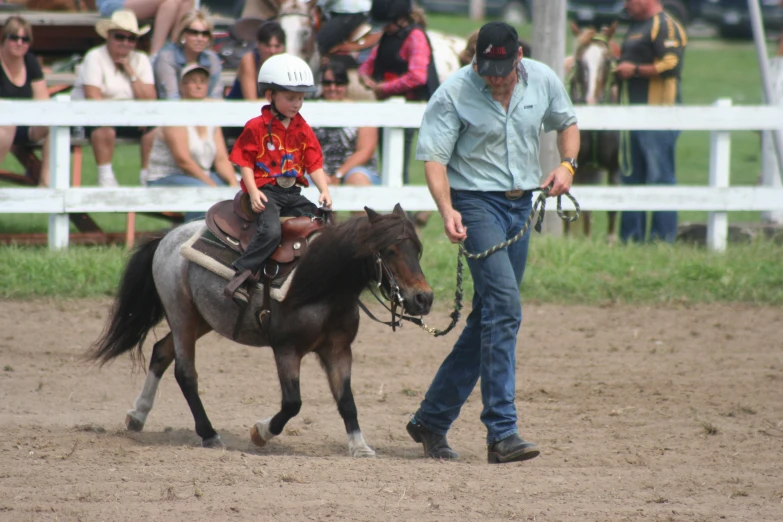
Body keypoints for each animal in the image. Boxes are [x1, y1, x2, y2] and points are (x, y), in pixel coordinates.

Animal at [92, 203, 438, 456]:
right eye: (390, 251)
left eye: (419, 250)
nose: (424, 298)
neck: (322, 284)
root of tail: (168, 236)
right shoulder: (286, 350)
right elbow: (293, 403)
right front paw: (260, 432)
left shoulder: (338, 350)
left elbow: (346, 400)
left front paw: (359, 446)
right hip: (181, 315)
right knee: (185, 373)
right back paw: (209, 434)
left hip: (202, 319)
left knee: (161, 352)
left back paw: (138, 414)